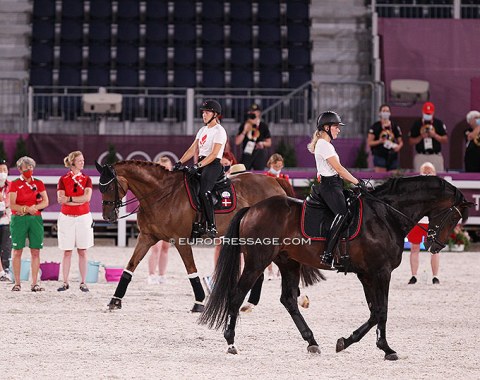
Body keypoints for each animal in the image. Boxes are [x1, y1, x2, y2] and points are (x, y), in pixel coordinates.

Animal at [96, 160, 322, 312]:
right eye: (99, 187)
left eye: (109, 186)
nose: (108, 216)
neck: (161, 194)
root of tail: (274, 180)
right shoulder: (146, 237)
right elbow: (130, 266)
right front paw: (115, 300)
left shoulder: (180, 240)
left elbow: (191, 270)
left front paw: (199, 301)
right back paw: (251, 303)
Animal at [199, 175, 472, 360]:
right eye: (455, 217)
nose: (435, 245)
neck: (386, 216)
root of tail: (251, 209)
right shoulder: (380, 272)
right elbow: (381, 311)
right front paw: (384, 348)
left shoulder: (367, 274)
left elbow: (375, 311)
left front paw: (350, 342)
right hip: (257, 262)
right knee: (236, 295)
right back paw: (230, 342)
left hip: (288, 262)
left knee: (288, 299)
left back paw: (311, 341)